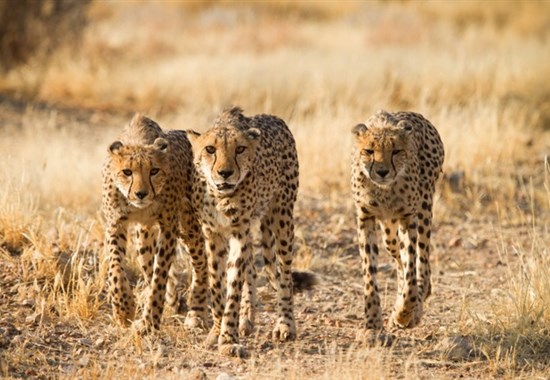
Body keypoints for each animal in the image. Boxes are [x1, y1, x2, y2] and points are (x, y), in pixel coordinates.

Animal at [101, 113, 209, 332]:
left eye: (154, 171)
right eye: (127, 172)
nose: (141, 194)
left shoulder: (169, 227)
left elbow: (160, 275)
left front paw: (149, 321)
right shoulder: (115, 224)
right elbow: (116, 268)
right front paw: (124, 309)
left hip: (188, 224)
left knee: (201, 259)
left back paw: (197, 312)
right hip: (144, 236)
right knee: (148, 264)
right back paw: (173, 300)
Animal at [189, 106, 302, 356]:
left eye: (240, 149)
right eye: (210, 149)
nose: (225, 173)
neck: (221, 196)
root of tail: (274, 117)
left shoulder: (238, 233)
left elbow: (233, 287)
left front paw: (227, 339)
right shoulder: (213, 234)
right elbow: (217, 285)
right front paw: (217, 331)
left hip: (282, 216)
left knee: (284, 275)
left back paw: (285, 325)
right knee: (251, 268)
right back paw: (246, 319)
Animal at [354, 109, 444, 338]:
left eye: (396, 151)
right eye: (369, 151)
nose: (382, 171)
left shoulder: (408, 218)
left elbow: (412, 270)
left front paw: (404, 313)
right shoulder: (366, 218)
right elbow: (370, 273)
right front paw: (373, 320)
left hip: (424, 210)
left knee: (422, 263)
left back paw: (413, 308)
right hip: (389, 234)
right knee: (399, 260)